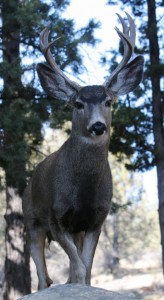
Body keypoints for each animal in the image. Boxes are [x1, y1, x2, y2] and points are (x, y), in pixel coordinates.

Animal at [22, 12, 144, 290]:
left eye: (109, 101)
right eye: (78, 103)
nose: (98, 126)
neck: (84, 192)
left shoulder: (96, 220)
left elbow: (85, 269)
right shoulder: (56, 217)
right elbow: (78, 267)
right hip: (31, 219)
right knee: (42, 277)